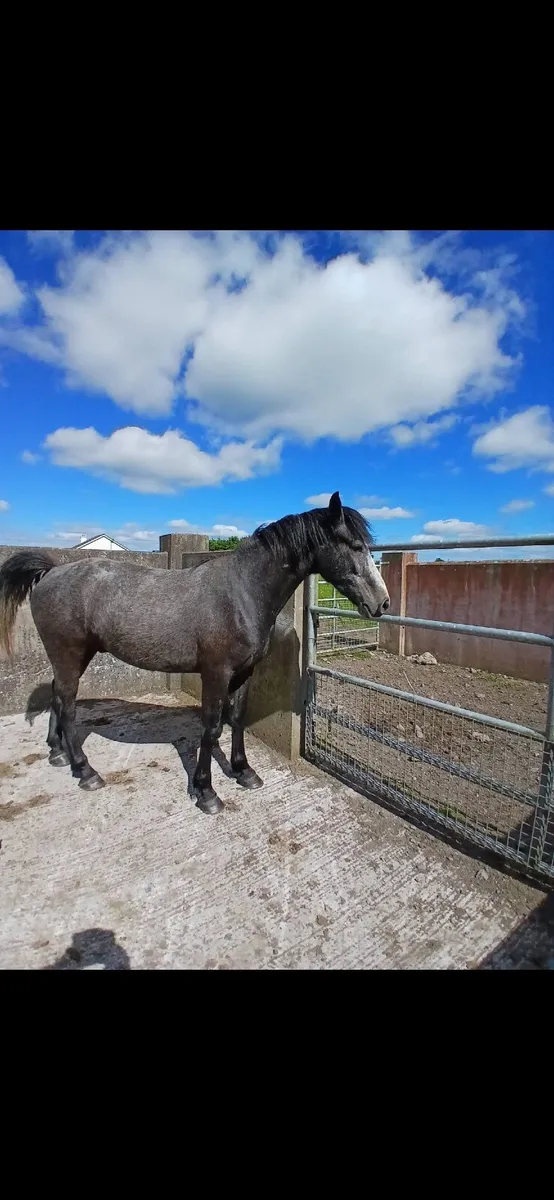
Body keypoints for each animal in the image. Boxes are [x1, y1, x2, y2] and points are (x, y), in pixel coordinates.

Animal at [0, 492, 389, 815]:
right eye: (355, 545)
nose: (382, 603)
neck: (241, 593)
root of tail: (52, 571)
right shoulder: (216, 674)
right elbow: (212, 727)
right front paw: (206, 792)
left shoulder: (244, 673)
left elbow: (237, 719)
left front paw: (244, 771)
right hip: (69, 654)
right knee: (67, 705)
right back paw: (85, 770)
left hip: (69, 657)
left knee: (57, 695)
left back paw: (57, 752)